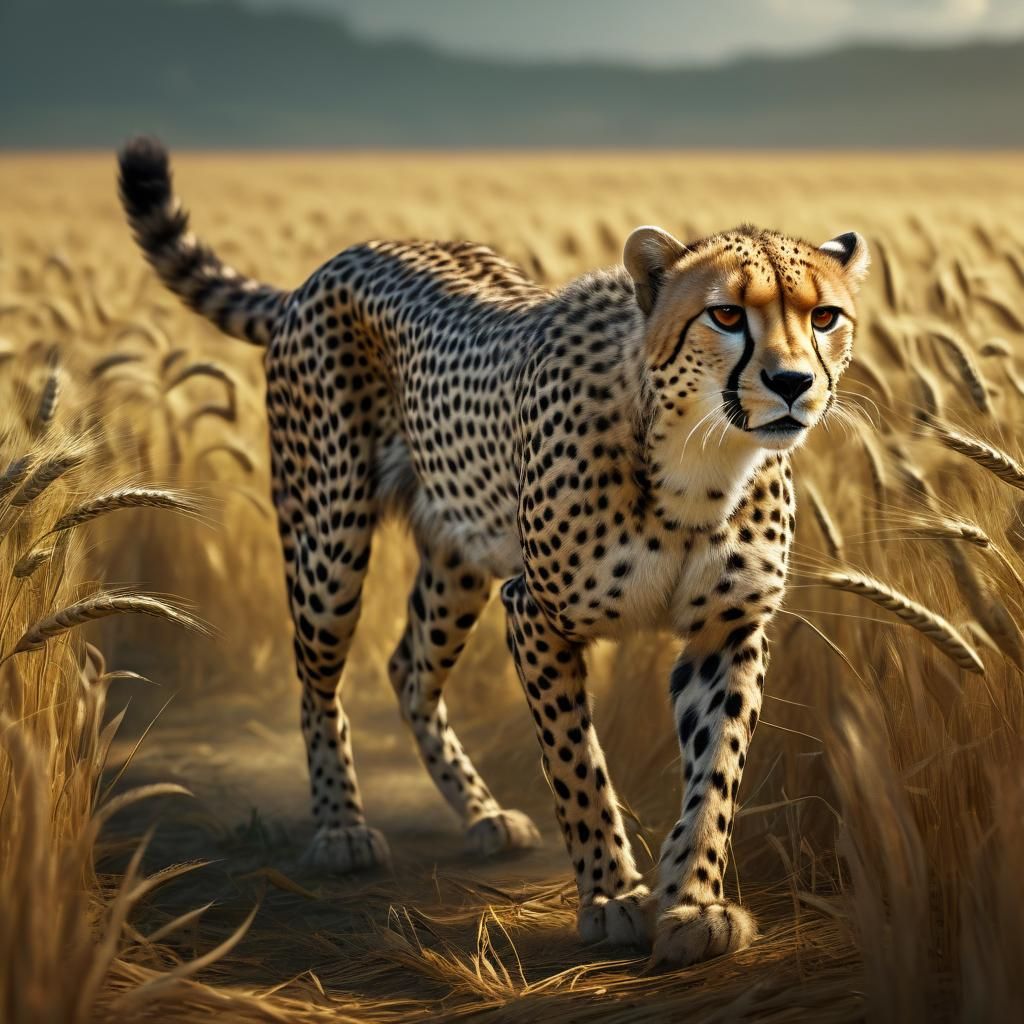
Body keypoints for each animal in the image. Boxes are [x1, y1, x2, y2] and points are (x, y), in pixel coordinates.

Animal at [117, 136, 868, 968]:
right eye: (727, 314)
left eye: (825, 315)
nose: (793, 382)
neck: (699, 460)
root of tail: (334, 263)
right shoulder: (536, 613)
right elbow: (577, 766)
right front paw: (612, 896)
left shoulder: (726, 632)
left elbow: (716, 777)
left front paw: (693, 900)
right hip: (329, 543)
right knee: (318, 679)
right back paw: (341, 827)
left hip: (458, 559)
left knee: (408, 667)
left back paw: (479, 812)